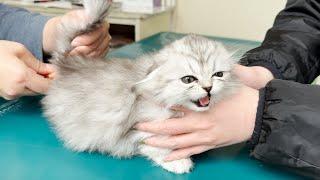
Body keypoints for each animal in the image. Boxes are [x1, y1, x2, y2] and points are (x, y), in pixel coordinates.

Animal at [40, 0, 240, 174]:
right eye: (189, 79)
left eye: (218, 75)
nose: (208, 88)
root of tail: (67, 63)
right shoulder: (140, 129)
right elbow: (157, 145)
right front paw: (177, 161)